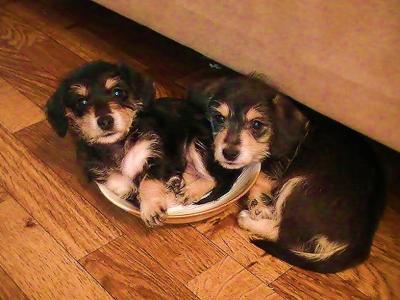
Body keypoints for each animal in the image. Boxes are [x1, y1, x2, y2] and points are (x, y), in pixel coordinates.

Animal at [192, 76, 386, 274]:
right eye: (219, 118)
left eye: (256, 124)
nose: (229, 153)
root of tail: (359, 244)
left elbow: (261, 177)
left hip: (299, 186)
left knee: (285, 235)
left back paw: (247, 219)